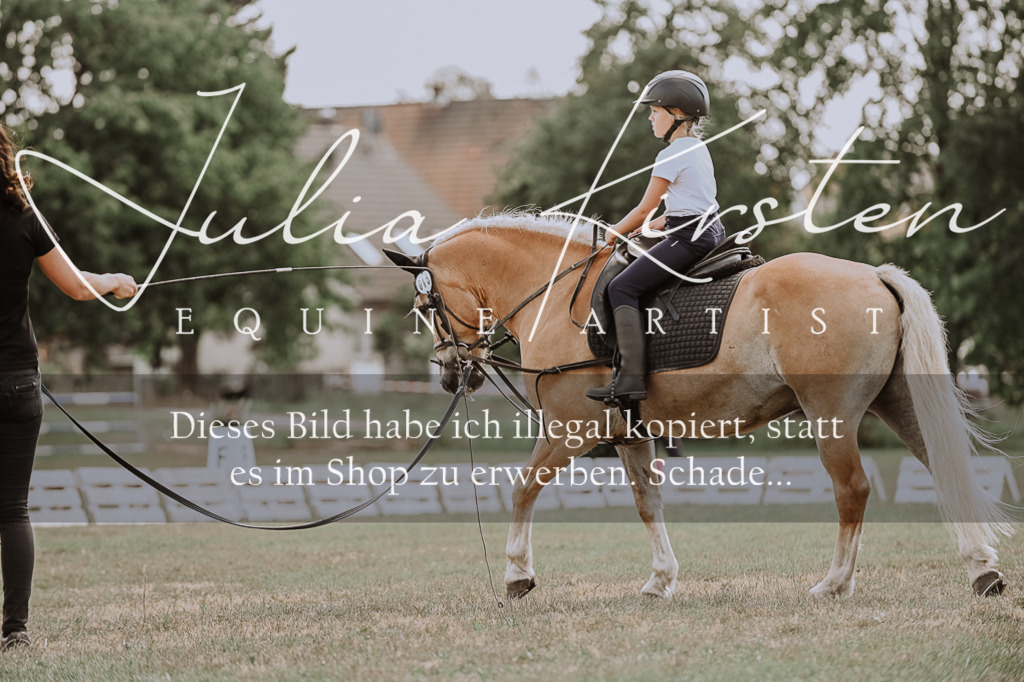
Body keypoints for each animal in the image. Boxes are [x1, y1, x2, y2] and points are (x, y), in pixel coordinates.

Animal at [384, 212, 1014, 599]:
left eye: (427, 307)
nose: (450, 373)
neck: (555, 296)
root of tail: (876, 277)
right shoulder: (630, 435)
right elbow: (647, 505)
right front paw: (661, 580)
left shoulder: (567, 431)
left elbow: (522, 490)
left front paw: (517, 575)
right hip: (897, 400)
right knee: (943, 468)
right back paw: (983, 571)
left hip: (831, 416)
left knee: (853, 490)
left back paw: (835, 584)